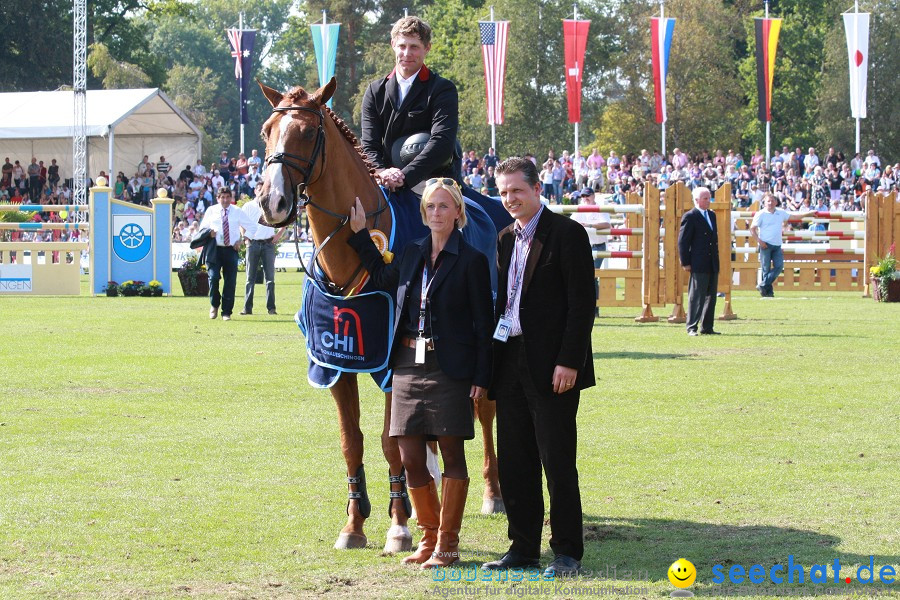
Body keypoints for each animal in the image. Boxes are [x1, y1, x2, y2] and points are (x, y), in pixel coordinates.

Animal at [256, 77, 502, 552]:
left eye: (308, 133)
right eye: (265, 132)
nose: (272, 201)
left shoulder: (393, 366)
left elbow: (391, 443)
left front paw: (398, 525)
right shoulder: (336, 364)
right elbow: (352, 442)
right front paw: (355, 523)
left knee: (483, 411)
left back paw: (490, 494)